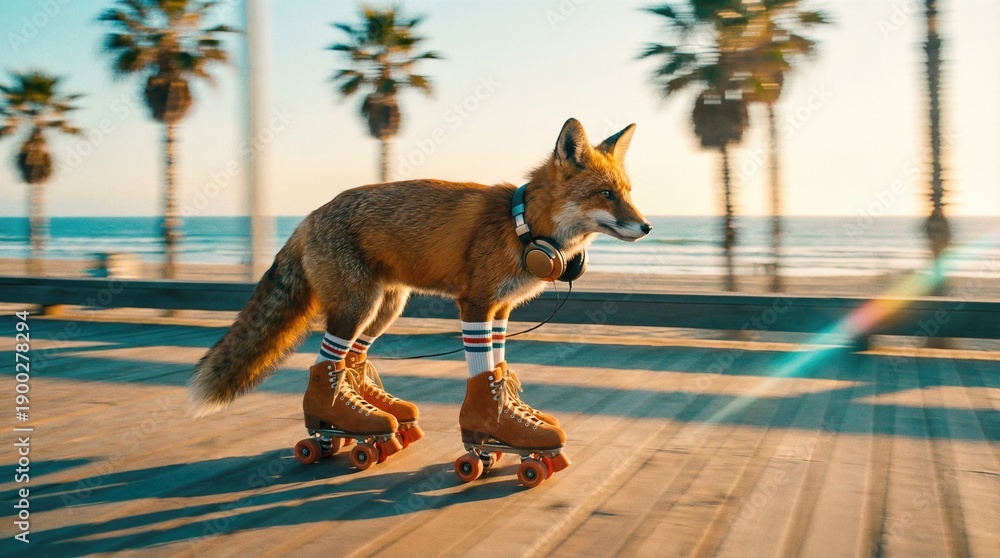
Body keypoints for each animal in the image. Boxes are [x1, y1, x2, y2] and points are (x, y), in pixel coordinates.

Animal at [190, 117, 651, 425]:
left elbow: (498, 366)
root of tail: (308, 217)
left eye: (628, 193)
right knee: (328, 361)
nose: (647, 227)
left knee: (354, 358)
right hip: (358, 307)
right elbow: (482, 368)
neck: (523, 227)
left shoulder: (500, 310)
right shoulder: (475, 304)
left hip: (387, 307)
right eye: (605, 194)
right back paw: (340, 425)